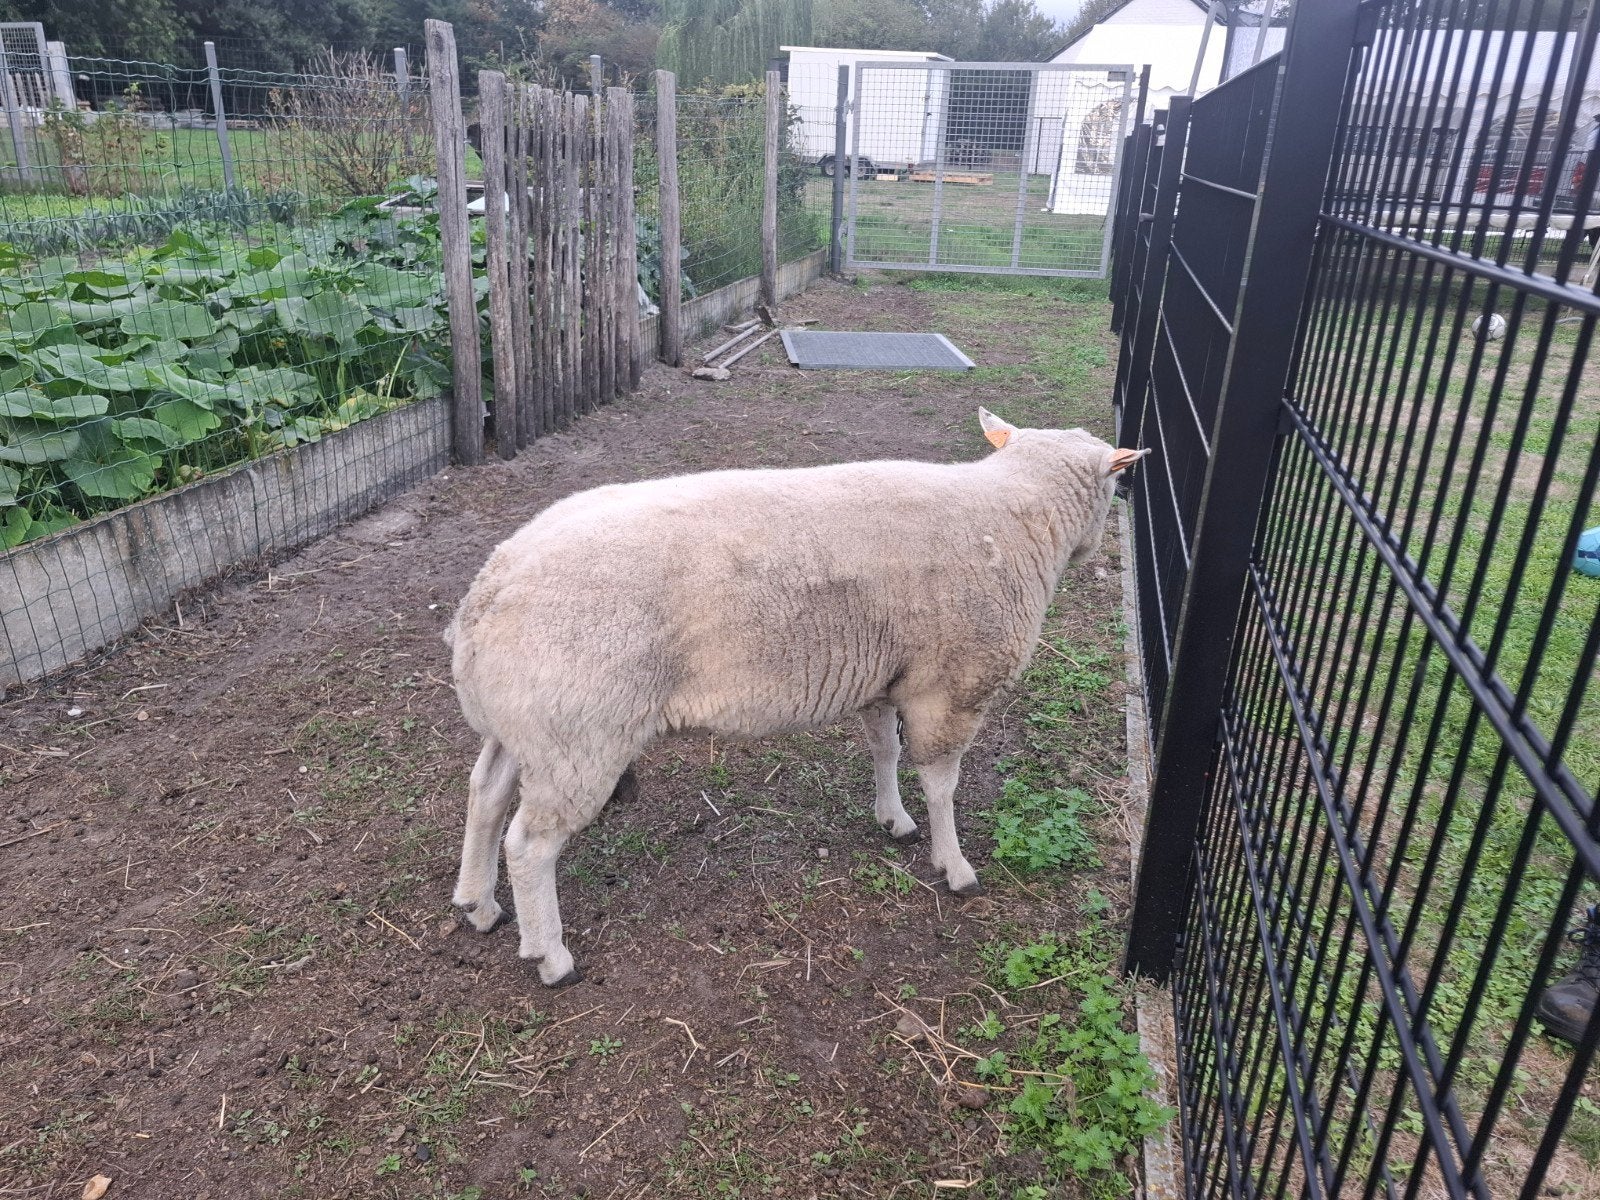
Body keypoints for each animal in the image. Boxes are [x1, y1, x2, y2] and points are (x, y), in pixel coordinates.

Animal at [445, 407, 1148, 985]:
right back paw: (550, 955)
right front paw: (954, 866)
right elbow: (942, 784)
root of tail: (484, 596)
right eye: (1117, 486)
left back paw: (478, 904)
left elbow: (885, 753)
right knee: (529, 844)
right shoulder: (950, 686)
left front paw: (892, 818)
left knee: (485, 795)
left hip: (526, 724)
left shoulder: (887, 676)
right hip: (579, 731)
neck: (1015, 519)